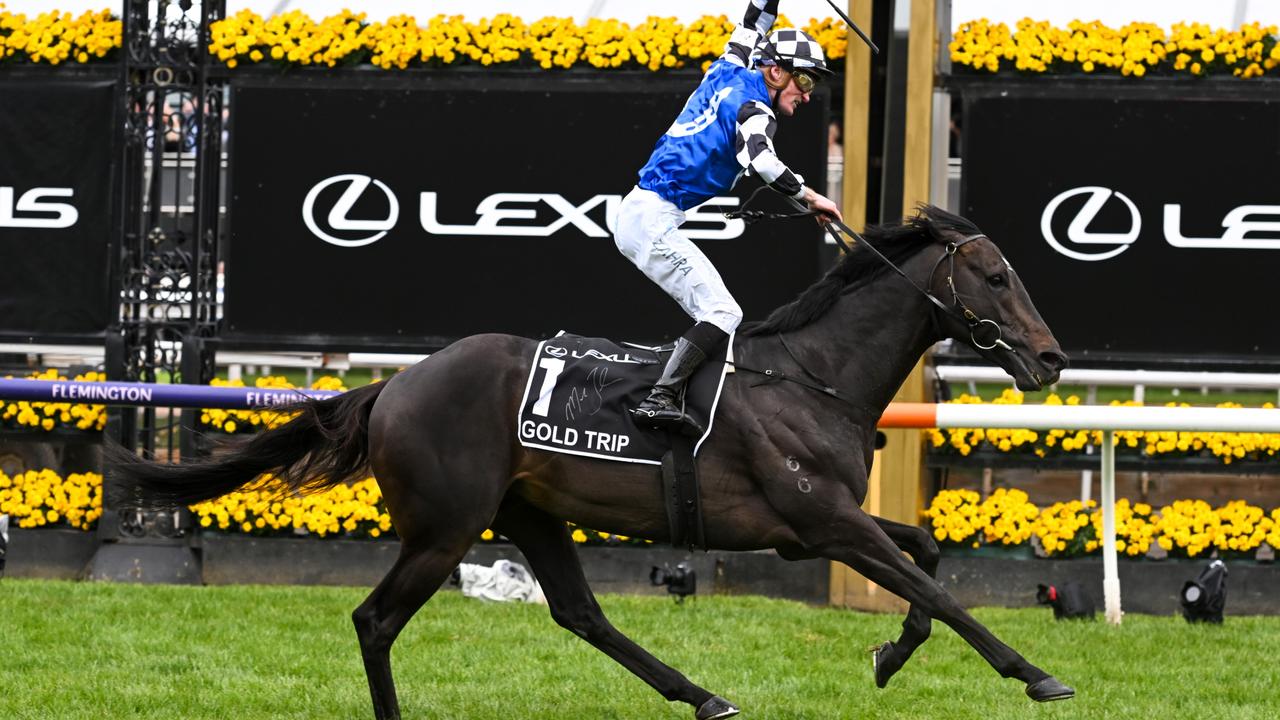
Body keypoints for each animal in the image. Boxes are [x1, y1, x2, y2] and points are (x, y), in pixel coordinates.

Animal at [112, 204, 1070, 712]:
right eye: (994, 277)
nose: (1052, 357)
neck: (809, 375)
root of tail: (398, 383)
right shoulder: (821, 523)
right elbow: (940, 591)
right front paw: (1036, 674)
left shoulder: (816, 528)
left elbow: (927, 558)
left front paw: (890, 656)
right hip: (446, 529)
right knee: (375, 620)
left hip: (529, 514)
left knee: (581, 615)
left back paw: (702, 695)